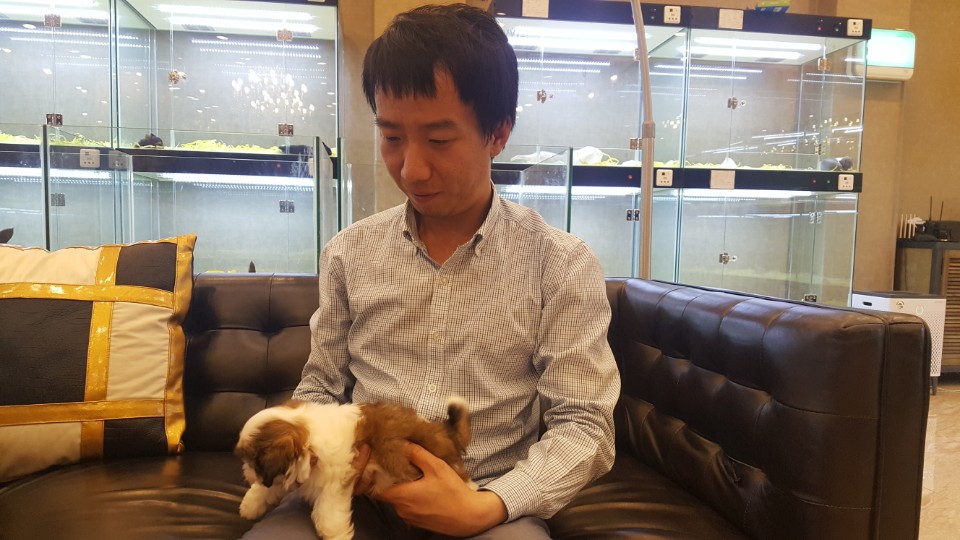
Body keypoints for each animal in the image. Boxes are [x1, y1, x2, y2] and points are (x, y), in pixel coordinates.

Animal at [234, 397, 473, 539]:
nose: (246, 472)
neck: (309, 438)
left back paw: (470, 490)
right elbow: (271, 486)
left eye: (253, 460)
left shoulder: (339, 478)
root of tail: (445, 432)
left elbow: (328, 511)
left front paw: (335, 534)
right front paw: (251, 504)